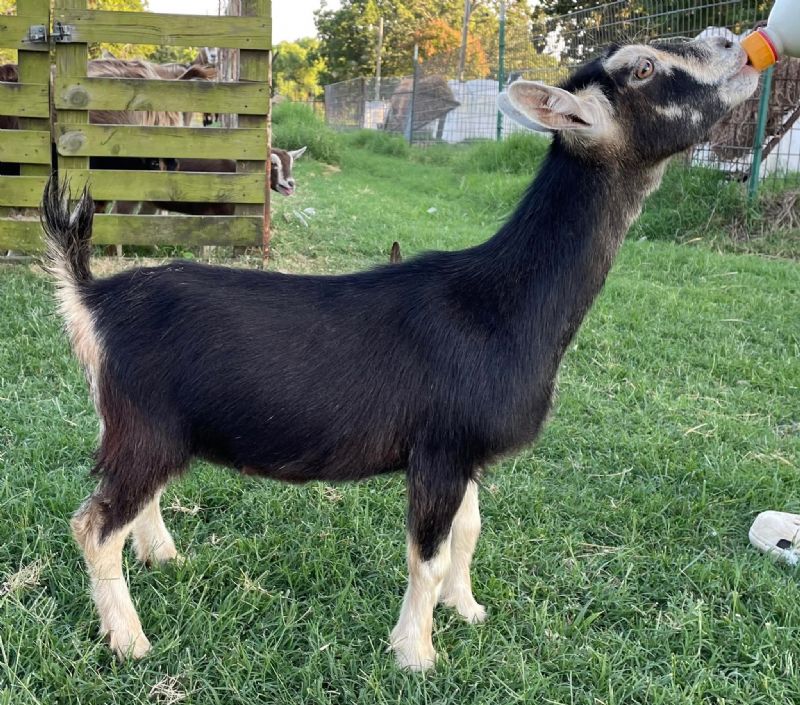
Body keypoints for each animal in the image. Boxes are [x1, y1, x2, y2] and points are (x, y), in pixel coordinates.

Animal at [41, 36, 757, 670]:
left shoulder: (465, 452)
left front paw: (468, 611)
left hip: (153, 430)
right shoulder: (438, 453)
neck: (500, 303)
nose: (740, 47)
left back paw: (163, 557)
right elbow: (428, 555)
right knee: (93, 525)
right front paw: (417, 654)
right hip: (147, 428)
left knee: (136, 502)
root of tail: (91, 298)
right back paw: (129, 640)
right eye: (643, 67)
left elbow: (468, 532)